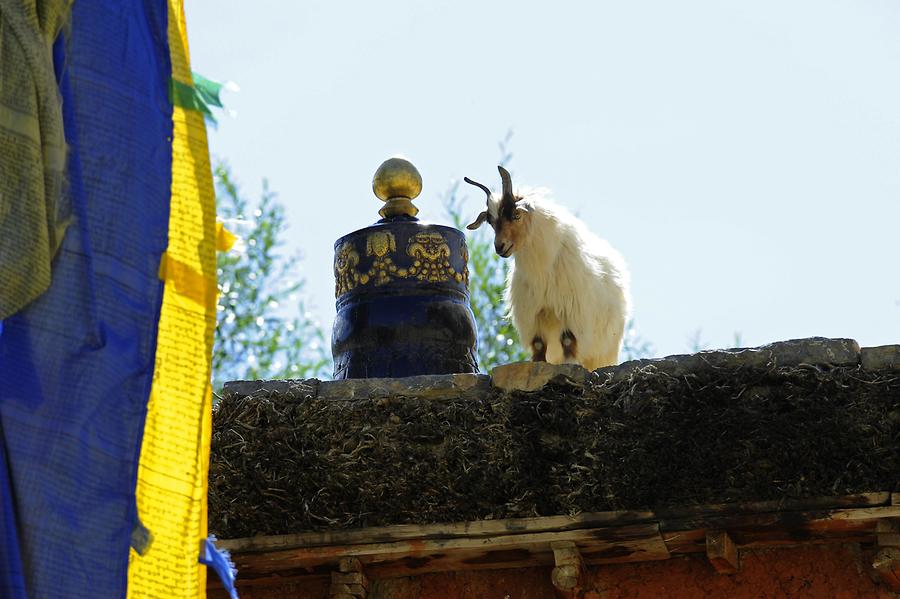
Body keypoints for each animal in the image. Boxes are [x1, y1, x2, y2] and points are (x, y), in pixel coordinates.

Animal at [464, 165, 632, 370]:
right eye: (491, 222)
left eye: (516, 215)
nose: (499, 247)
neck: (542, 273)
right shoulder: (533, 315)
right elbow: (538, 344)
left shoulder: (571, 312)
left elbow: (568, 340)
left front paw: (570, 363)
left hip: (604, 351)